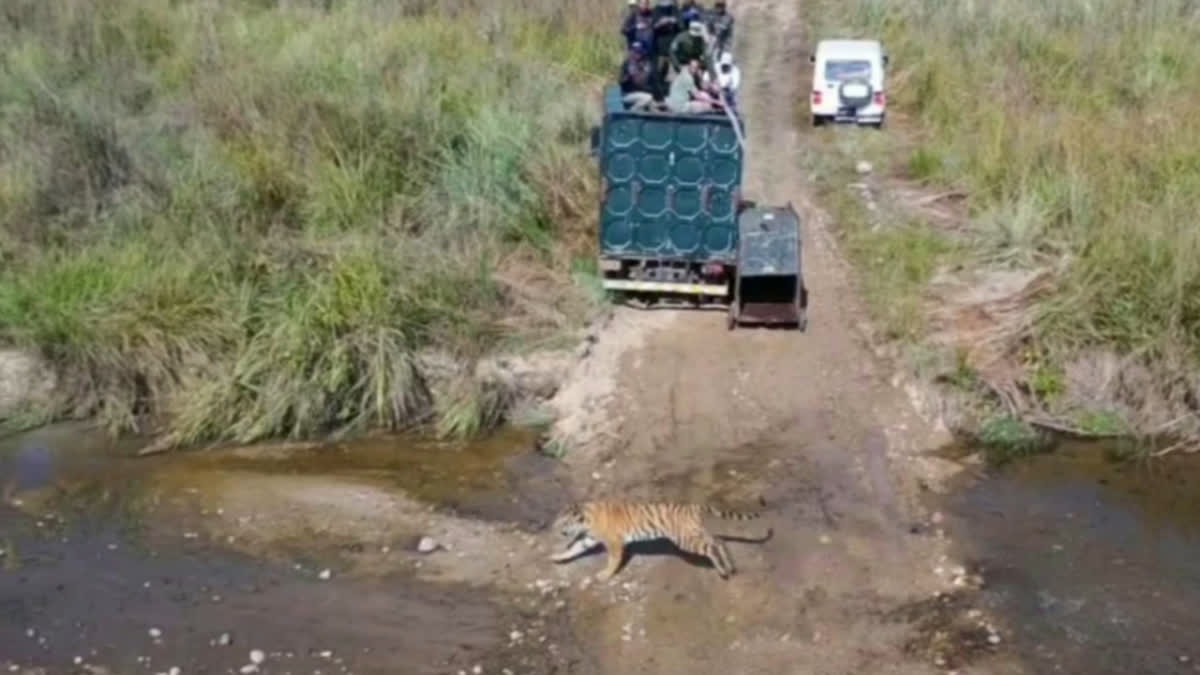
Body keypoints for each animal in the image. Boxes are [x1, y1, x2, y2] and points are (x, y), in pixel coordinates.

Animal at [549, 497, 772, 581]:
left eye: (563, 523)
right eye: (557, 522)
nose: (558, 532)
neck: (586, 518)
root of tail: (693, 506)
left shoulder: (614, 544)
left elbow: (612, 561)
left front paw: (605, 574)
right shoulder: (588, 539)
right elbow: (574, 549)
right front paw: (557, 557)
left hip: (686, 539)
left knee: (712, 546)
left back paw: (724, 570)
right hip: (695, 533)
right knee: (719, 541)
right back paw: (729, 567)